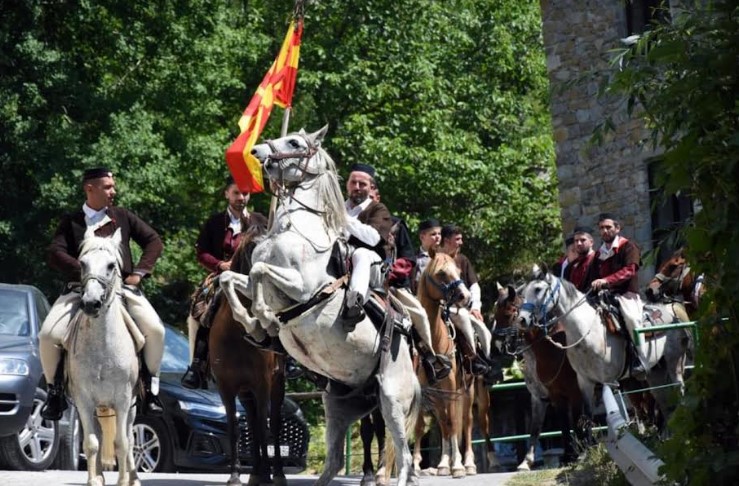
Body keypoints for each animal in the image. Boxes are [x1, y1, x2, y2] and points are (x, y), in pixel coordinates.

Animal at [68, 229, 142, 486]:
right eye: (82, 263)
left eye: (111, 265)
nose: (91, 303)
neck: (102, 349)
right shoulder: (83, 399)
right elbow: (91, 443)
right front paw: (94, 480)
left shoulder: (123, 399)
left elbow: (122, 443)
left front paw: (123, 481)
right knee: (100, 436)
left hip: (130, 407)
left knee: (129, 437)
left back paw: (133, 478)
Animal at [221, 127, 422, 486]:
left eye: (295, 143)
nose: (256, 152)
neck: (296, 230)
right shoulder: (256, 279)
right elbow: (229, 278)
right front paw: (254, 324)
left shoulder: (301, 287)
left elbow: (258, 274)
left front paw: (264, 319)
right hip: (338, 407)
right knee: (333, 461)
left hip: (392, 402)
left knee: (405, 458)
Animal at [410, 252, 468, 476]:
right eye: (441, 273)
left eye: (458, 271)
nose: (464, 296)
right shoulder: (424, 389)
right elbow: (419, 426)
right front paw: (415, 464)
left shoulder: (451, 385)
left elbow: (453, 423)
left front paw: (458, 466)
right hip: (438, 397)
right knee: (443, 423)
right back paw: (443, 464)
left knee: (463, 423)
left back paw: (467, 464)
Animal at [516, 266, 692, 426]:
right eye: (524, 293)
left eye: (538, 289)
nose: (522, 320)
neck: (586, 331)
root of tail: (672, 311)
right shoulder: (584, 382)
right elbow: (587, 419)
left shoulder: (610, 381)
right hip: (655, 372)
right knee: (664, 403)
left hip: (675, 362)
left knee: (679, 394)